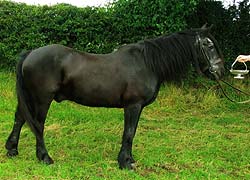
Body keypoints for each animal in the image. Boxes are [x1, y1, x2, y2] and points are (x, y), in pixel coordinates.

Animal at [5, 25, 225, 169]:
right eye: (209, 45)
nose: (220, 71)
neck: (147, 63)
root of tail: (30, 53)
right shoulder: (133, 105)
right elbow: (129, 133)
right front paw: (125, 162)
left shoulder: (137, 107)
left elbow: (131, 133)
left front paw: (129, 159)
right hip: (41, 99)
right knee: (38, 125)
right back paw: (45, 157)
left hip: (29, 98)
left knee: (20, 119)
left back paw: (12, 150)